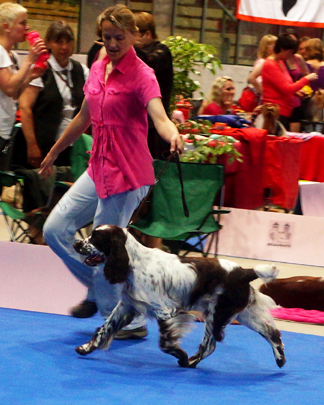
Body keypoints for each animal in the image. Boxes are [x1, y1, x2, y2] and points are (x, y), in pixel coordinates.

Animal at [73, 226, 286, 368]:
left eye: (95, 238)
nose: (76, 243)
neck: (134, 262)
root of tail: (244, 271)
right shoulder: (127, 306)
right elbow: (104, 329)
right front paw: (85, 348)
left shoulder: (164, 311)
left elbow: (165, 343)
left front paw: (181, 356)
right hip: (241, 313)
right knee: (271, 332)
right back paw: (280, 359)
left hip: (217, 314)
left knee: (210, 345)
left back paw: (188, 362)